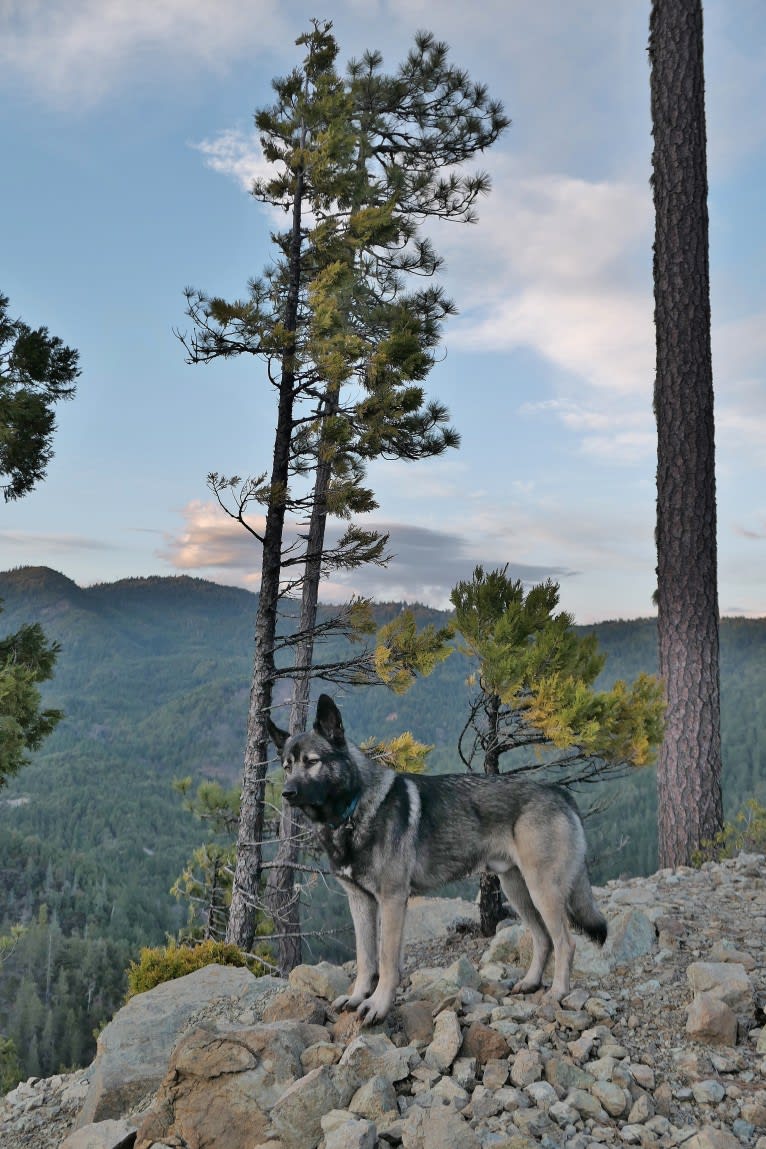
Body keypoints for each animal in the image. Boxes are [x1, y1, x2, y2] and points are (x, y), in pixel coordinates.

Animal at [269, 689, 606, 1024]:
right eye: (286, 766)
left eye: (311, 762)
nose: (287, 793)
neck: (353, 810)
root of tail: (559, 792)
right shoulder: (360, 901)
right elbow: (365, 958)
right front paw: (356, 997)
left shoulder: (392, 900)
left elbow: (386, 960)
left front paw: (378, 1005)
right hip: (518, 891)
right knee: (543, 939)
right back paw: (531, 982)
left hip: (542, 890)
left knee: (565, 942)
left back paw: (558, 992)